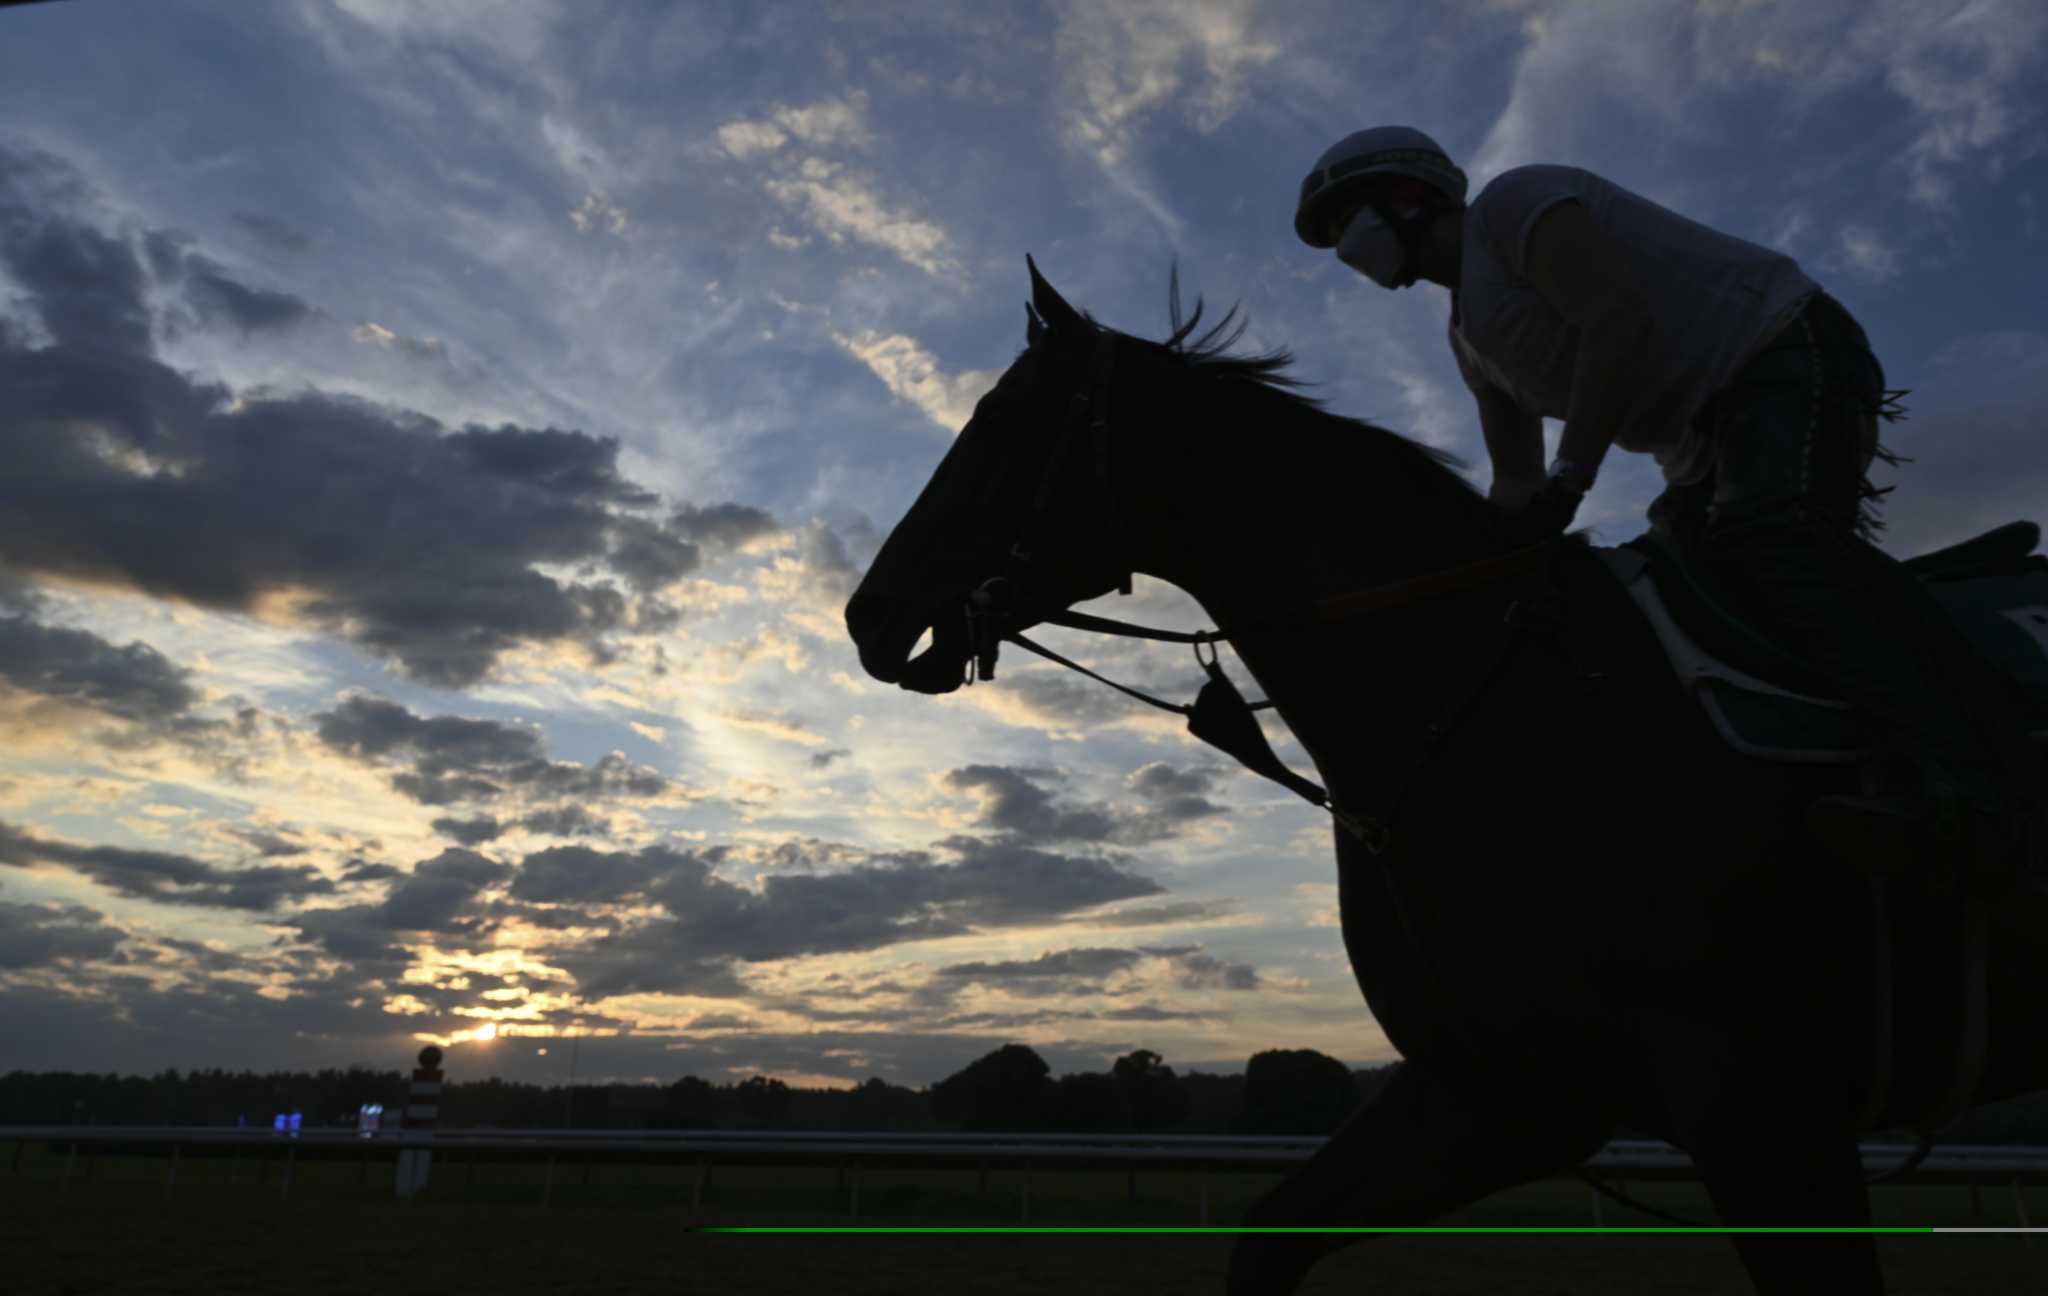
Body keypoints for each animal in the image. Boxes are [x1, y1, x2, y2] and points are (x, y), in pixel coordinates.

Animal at [843, 257, 2048, 1285]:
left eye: (999, 420)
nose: (867, 612)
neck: (1490, 692)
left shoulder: (1757, 1098)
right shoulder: (1506, 1090)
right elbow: (1270, 1236)